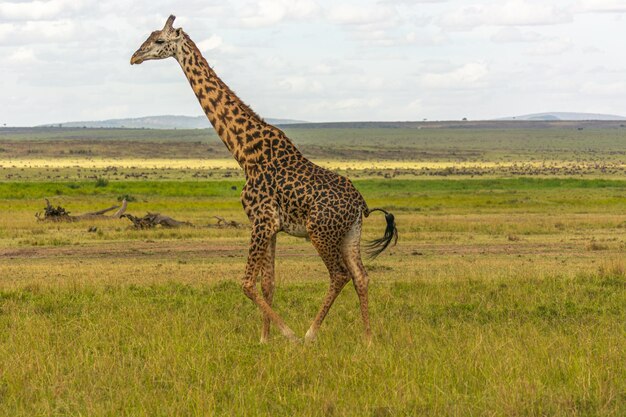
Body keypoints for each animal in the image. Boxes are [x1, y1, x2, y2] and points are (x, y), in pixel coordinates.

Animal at [130, 15, 400, 342]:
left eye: (158, 41)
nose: (134, 57)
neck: (245, 152)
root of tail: (360, 204)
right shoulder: (272, 226)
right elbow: (268, 283)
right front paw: (265, 339)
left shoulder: (261, 220)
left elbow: (247, 283)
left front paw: (288, 336)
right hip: (350, 234)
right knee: (362, 276)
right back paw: (368, 339)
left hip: (320, 232)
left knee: (339, 275)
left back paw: (310, 334)